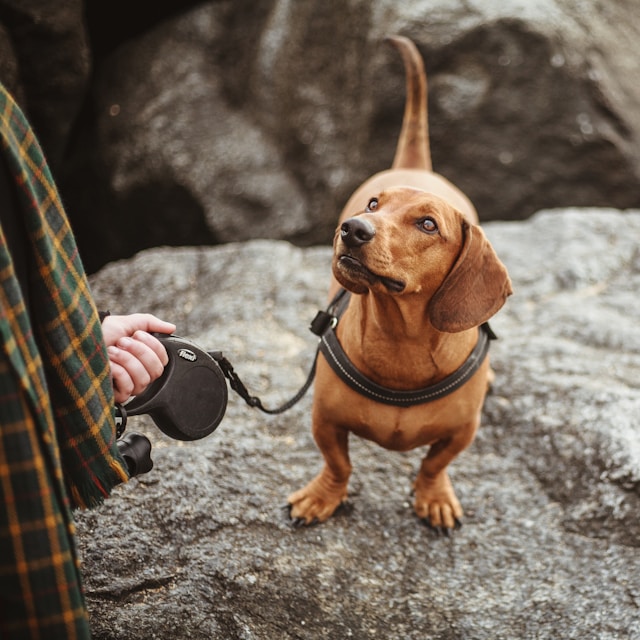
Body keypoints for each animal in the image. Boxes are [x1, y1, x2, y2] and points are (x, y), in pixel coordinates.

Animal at [288, 37, 512, 532]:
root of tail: (416, 166)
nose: (352, 229)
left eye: (428, 224)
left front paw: (434, 497)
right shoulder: (325, 420)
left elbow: (434, 464)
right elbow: (338, 464)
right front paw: (321, 496)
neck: (400, 341)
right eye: (374, 205)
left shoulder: (460, 433)